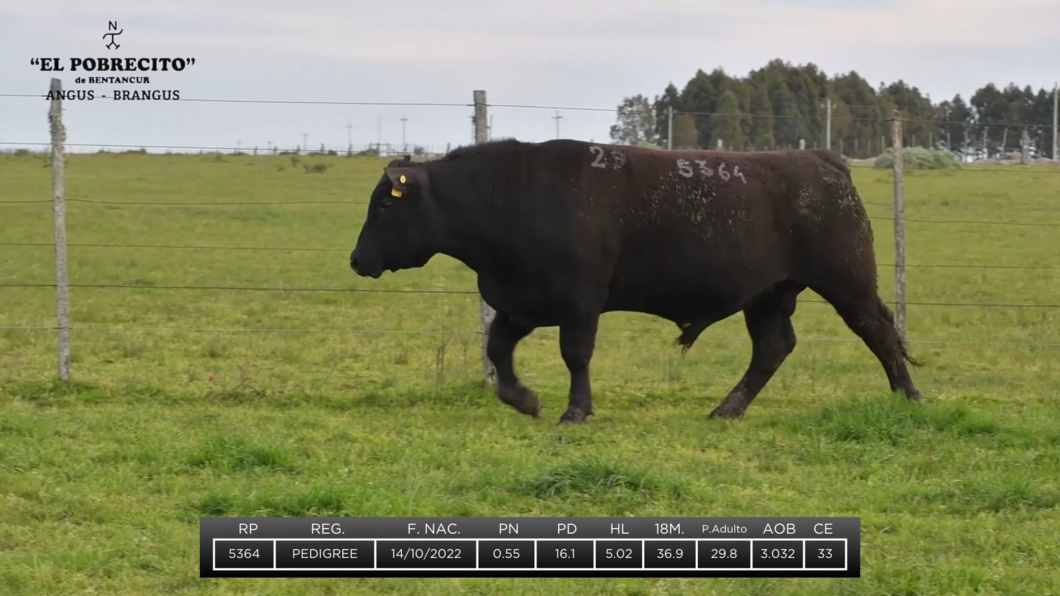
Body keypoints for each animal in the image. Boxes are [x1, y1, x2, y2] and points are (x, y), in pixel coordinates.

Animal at [349, 138, 920, 422]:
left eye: (385, 204)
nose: (356, 259)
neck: (510, 192)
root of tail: (821, 160)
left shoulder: (579, 300)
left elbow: (575, 354)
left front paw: (575, 411)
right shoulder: (520, 301)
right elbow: (497, 348)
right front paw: (524, 400)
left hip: (847, 282)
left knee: (880, 333)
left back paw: (909, 397)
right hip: (767, 293)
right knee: (773, 348)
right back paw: (726, 409)